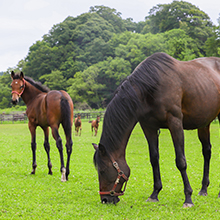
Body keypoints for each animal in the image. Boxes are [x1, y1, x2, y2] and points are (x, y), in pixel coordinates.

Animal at [92, 52, 220, 207]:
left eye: (103, 171)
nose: (105, 199)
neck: (150, 86)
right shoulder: (149, 127)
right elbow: (154, 158)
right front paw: (154, 194)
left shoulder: (175, 123)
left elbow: (180, 161)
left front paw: (188, 198)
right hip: (204, 123)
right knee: (207, 151)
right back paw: (203, 189)